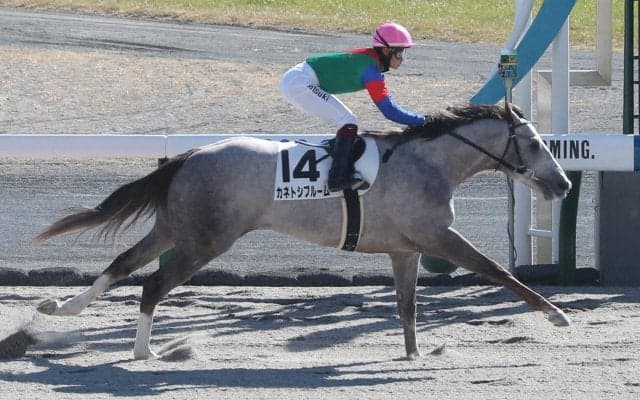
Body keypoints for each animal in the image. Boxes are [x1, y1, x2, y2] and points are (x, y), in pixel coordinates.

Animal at [34, 103, 572, 361]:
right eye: (533, 143)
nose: (563, 184)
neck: (429, 162)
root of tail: (191, 154)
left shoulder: (406, 249)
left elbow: (407, 306)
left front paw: (414, 355)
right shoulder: (438, 237)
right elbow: (498, 271)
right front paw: (557, 315)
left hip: (175, 229)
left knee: (123, 264)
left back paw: (62, 307)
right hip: (205, 240)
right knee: (153, 284)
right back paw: (145, 350)